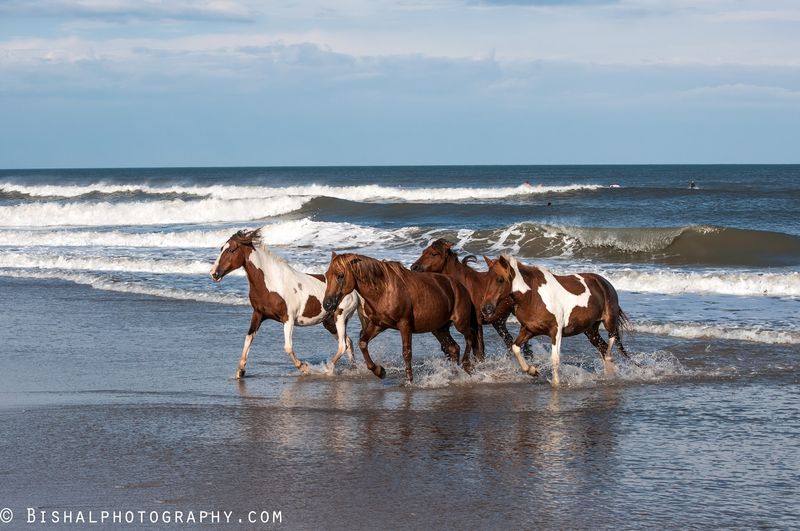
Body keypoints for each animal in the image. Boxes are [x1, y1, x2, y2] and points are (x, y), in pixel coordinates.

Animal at [210, 229, 359, 378]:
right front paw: (240, 370)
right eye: (221, 248)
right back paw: (352, 368)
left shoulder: (288, 318)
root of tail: (354, 291)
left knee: (343, 345)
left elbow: (288, 347)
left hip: (340, 317)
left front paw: (304, 368)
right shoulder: (258, 314)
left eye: (231, 250)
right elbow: (248, 339)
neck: (272, 283)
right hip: (329, 322)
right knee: (348, 342)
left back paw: (327, 370)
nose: (213, 273)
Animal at [322, 252, 479, 383]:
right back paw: (454, 375)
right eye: (327, 275)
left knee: (470, 337)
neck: (383, 290)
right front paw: (380, 371)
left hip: (460, 322)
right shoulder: (378, 325)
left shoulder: (405, 325)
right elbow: (363, 343)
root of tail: (460, 286)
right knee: (454, 348)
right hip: (439, 329)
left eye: (340, 275)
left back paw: (466, 366)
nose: (327, 304)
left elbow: (406, 353)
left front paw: (408, 381)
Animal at [480, 255, 631, 386]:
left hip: (609, 322)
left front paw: (556, 383)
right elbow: (515, 348)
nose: (486, 308)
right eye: (486, 279)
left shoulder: (556, 331)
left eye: (500, 279)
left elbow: (555, 359)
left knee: (610, 344)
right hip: (590, 330)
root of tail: (604, 283)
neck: (533, 296)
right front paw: (533, 371)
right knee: (603, 348)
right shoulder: (528, 329)